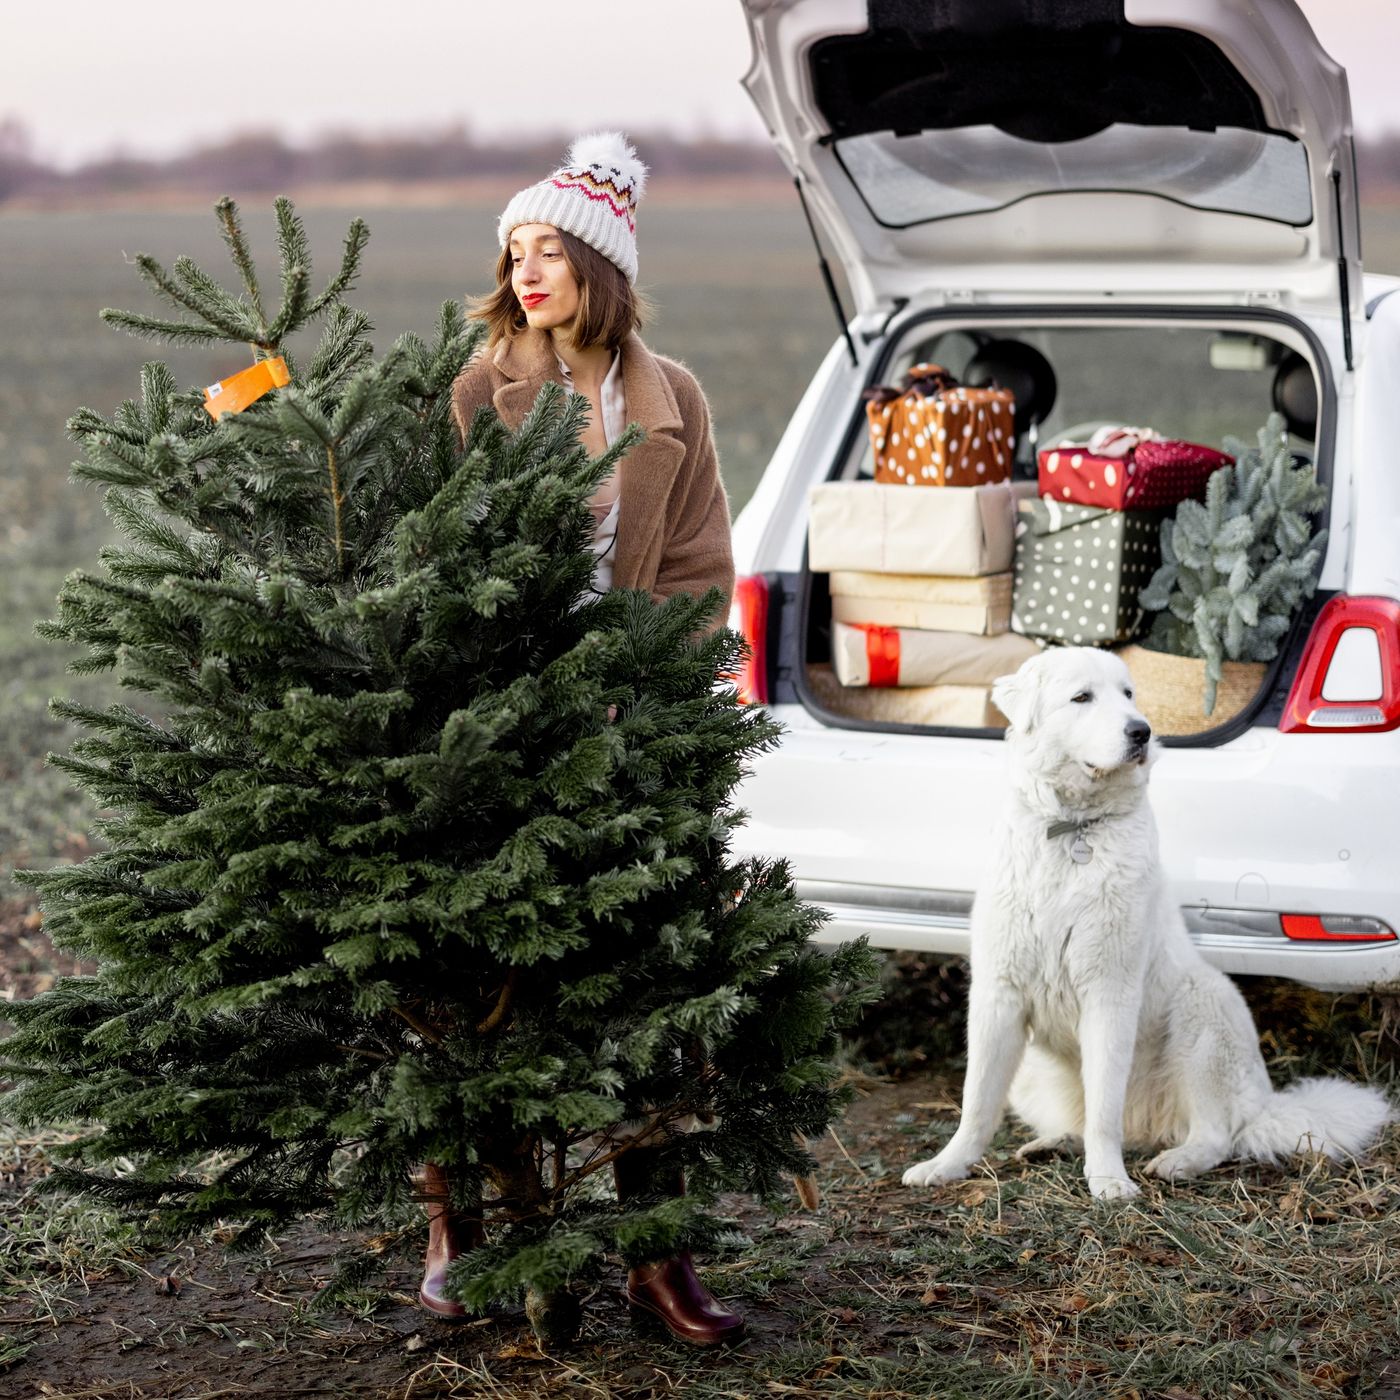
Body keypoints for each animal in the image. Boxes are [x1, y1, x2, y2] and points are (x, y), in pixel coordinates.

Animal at [901, 646, 1383, 1204]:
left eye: (1128, 694)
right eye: (1082, 697)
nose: (1142, 731)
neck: (1073, 829)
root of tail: (1262, 1105)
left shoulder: (1109, 994)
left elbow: (1104, 1109)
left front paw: (1109, 1181)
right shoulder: (999, 995)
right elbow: (977, 1100)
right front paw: (947, 1164)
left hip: (1203, 1006)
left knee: (1216, 1133)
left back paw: (1177, 1161)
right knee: (1093, 1120)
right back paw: (1056, 1142)